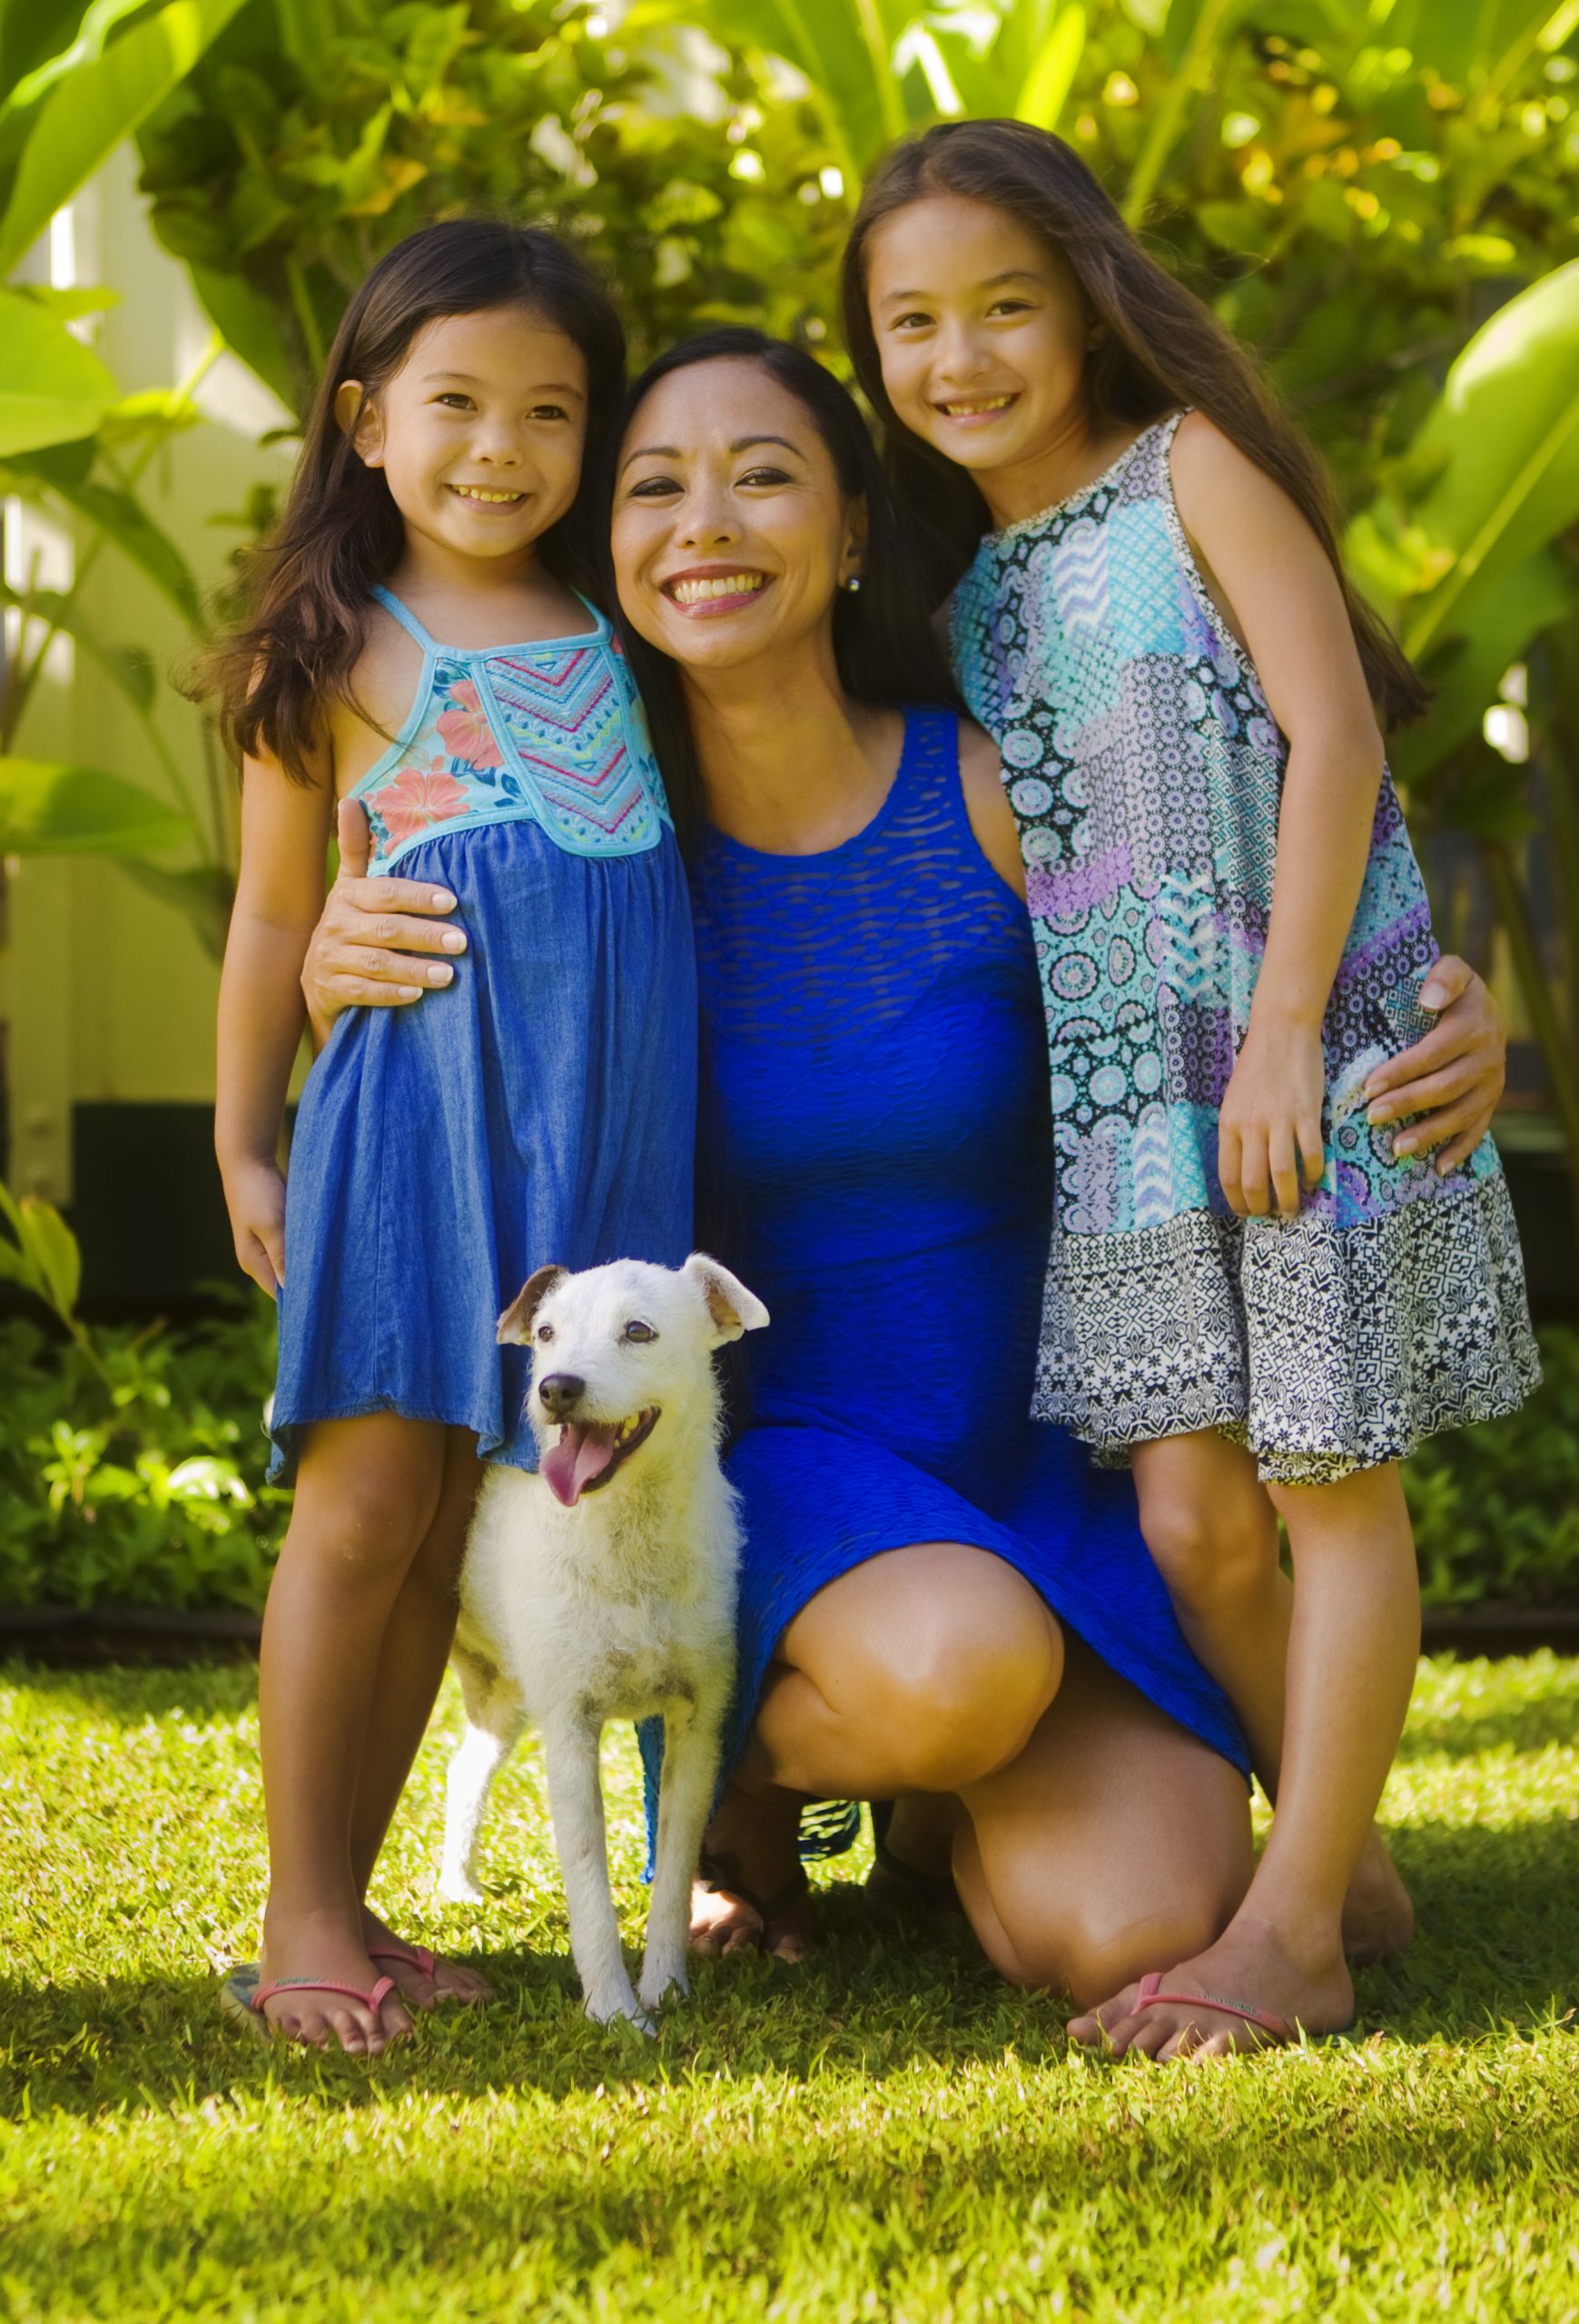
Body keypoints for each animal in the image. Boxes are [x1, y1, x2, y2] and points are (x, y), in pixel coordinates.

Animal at [441, 1246, 767, 2026]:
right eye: (547, 1333)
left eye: (638, 1331)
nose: (556, 1388)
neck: (625, 1539)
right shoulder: (570, 1730)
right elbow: (588, 1880)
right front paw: (615, 2012)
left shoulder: (696, 1725)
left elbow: (674, 1868)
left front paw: (665, 1985)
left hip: (507, 1698)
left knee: (465, 1768)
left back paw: (457, 1884)